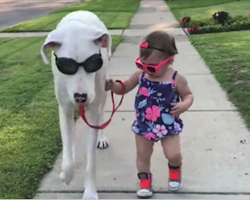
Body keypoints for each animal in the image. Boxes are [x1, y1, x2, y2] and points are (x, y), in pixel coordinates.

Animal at [40, 10, 112, 198]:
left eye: (94, 62)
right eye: (65, 65)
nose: (81, 97)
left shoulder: (93, 109)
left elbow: (91, 159)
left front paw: (90, 192)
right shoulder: (64, 108)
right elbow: (67, 147)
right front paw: (66, 175)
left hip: (103, 92)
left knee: (102, 112)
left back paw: (101, 138)